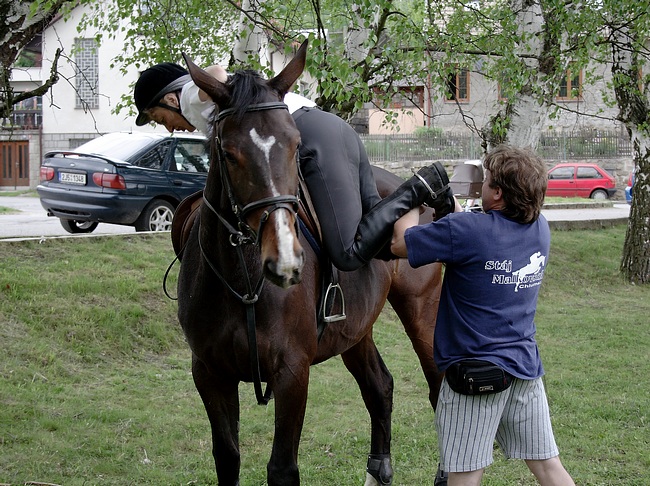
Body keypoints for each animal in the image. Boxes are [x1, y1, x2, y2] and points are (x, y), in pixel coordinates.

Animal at [175, 39, 442, 484]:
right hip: (355, 331)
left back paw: (430, 181)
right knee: (379, 387)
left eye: (295, 145)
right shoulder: (210, 374)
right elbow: (227, 456)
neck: (243, 281)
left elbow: (282, 468)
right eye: (227, 153)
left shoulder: (292, 373)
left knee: (441, 387)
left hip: (422, 312)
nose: (284, 259)